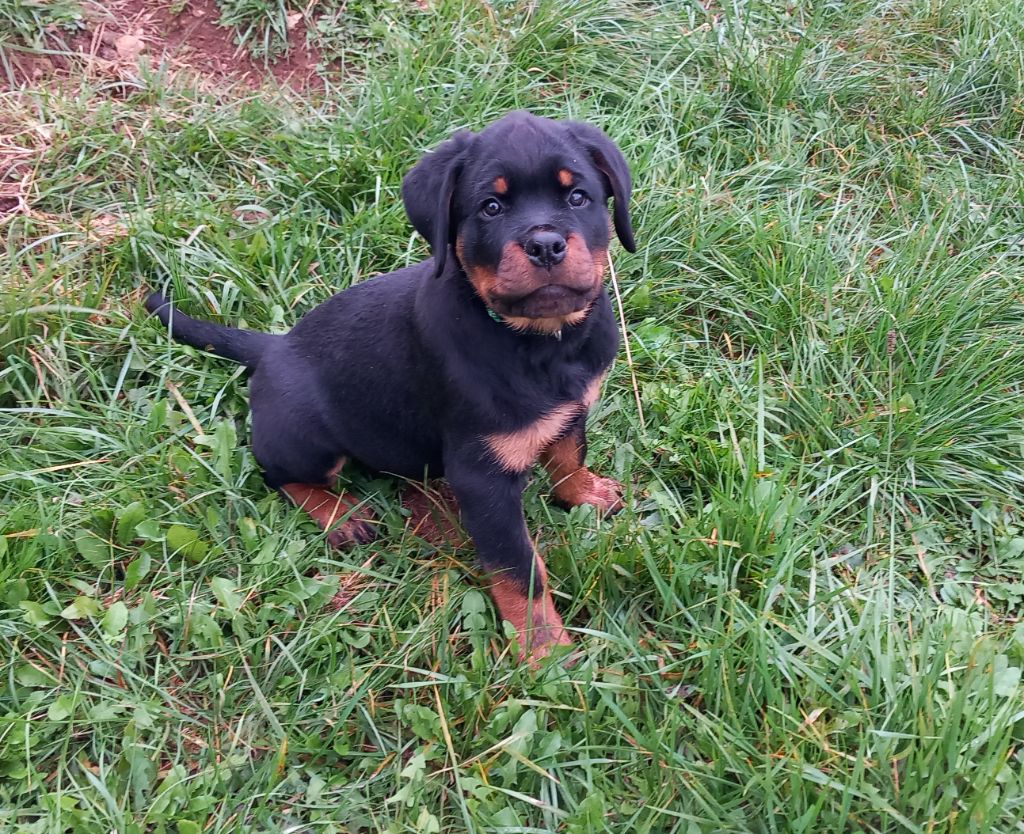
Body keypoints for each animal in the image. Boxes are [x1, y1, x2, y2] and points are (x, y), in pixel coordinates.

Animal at [148, 109, 634, 659]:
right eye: (490, 207)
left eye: (578, 198)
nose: (546, 244)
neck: (540, 341)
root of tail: (273, 348)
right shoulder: (481, 476)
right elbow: (519, 572)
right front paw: (544, 650)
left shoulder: (572, 409)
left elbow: (570, 455)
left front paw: (586, 493)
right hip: (306, 440)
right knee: (277, 473)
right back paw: (341, 515)